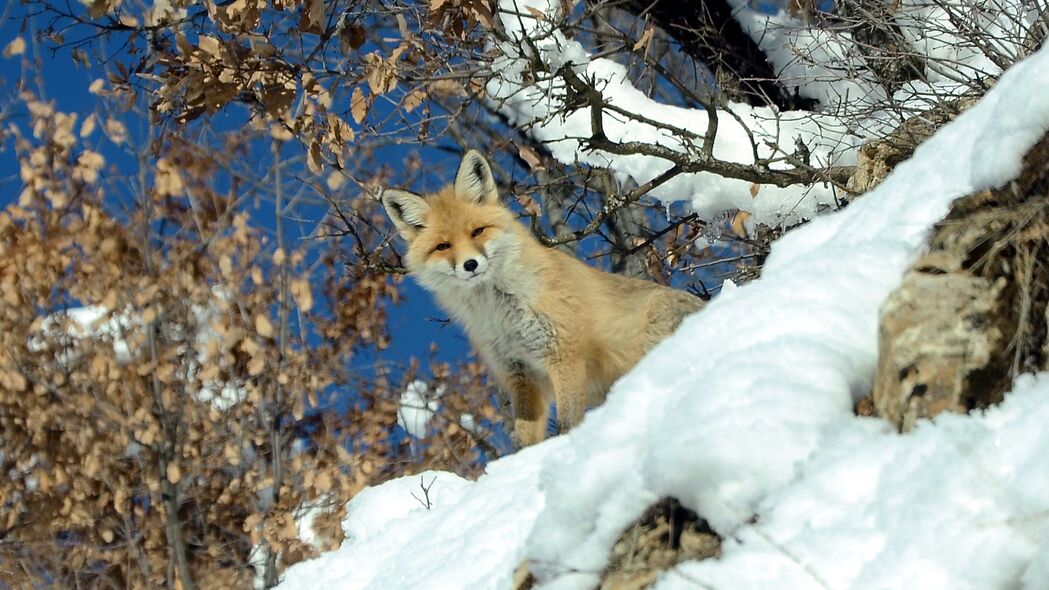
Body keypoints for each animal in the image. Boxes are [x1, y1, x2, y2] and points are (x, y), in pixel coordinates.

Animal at [379, 149, 704, 443]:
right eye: (443, 246)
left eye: (478, 231)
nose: (470, 265)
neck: (502, 314)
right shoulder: (520, 374)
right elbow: (525, 441)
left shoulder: (565, 356)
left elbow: (567, 425)